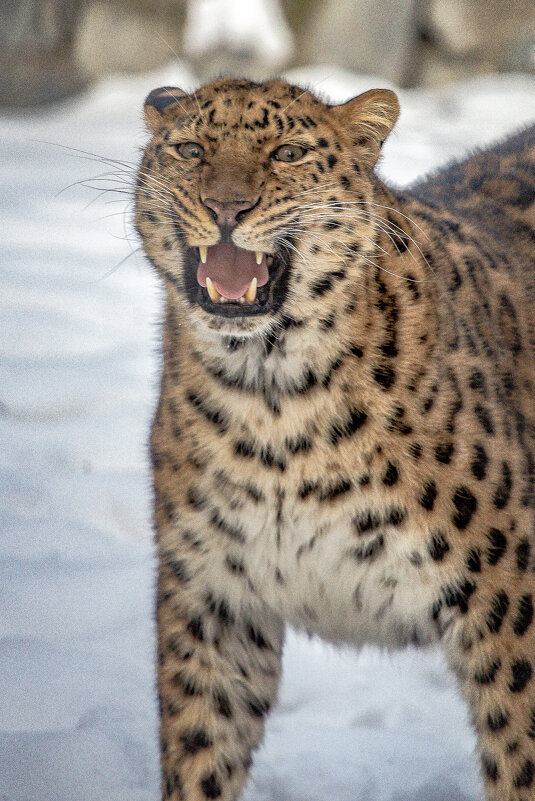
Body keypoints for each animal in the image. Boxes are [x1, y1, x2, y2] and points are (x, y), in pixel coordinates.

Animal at [135, 76, 535, 800]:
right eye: (190, 149)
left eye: (288, 153)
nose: (225, 206)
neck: (271, 398)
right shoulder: (213, 601)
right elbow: (200, 752)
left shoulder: (507, 604)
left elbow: (519, 754)